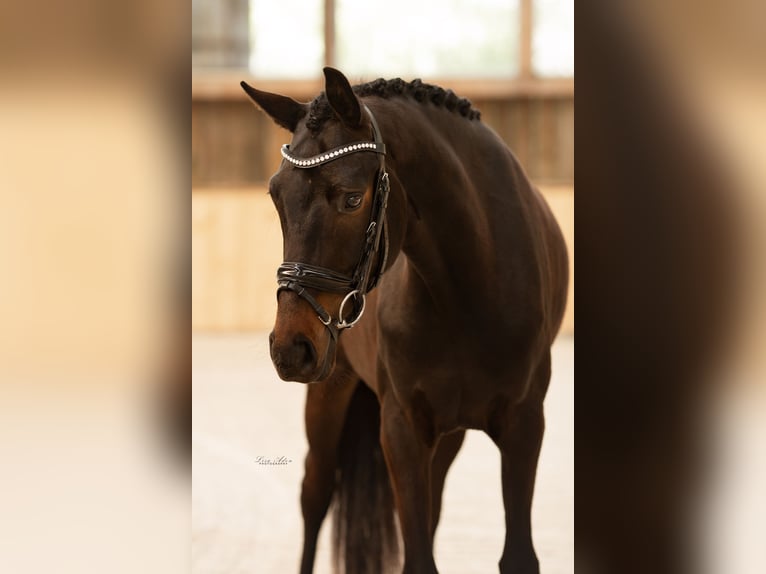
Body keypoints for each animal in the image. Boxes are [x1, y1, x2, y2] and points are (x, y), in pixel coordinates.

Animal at [241, 67, 568, 574]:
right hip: (330, 390)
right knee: (315, 494)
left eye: (352, 199)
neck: (468, 294)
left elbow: (515, 556)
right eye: (276, 196)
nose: (290, 347)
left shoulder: (524, 424)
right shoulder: (401, 428)